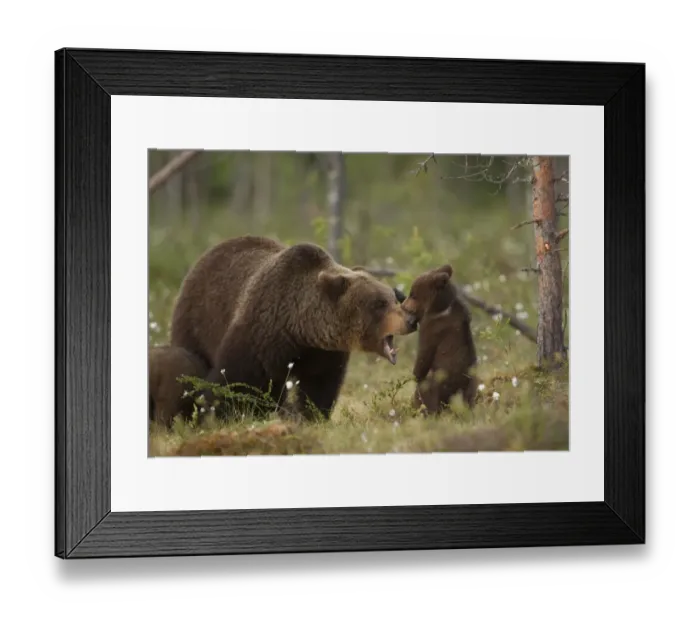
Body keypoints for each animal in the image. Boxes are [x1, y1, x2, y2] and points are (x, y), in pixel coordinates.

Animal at [169, 235, 418, 421]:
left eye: (394, 296)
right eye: (379, 303)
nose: (412, 319)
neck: (299, 329)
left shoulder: (322, 354)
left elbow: (320, 387)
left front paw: (310, 415)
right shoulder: (259, 335)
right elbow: (232, 379)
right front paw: (211, 413)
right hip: (197, 322)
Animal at [401, 264, 479, 414]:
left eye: (413, 294)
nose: (403, 306)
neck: (440, 307)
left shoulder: (431, 328)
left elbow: (424, 355)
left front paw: (415, 374)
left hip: (441, 380)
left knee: (427, 391)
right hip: (471, 383)